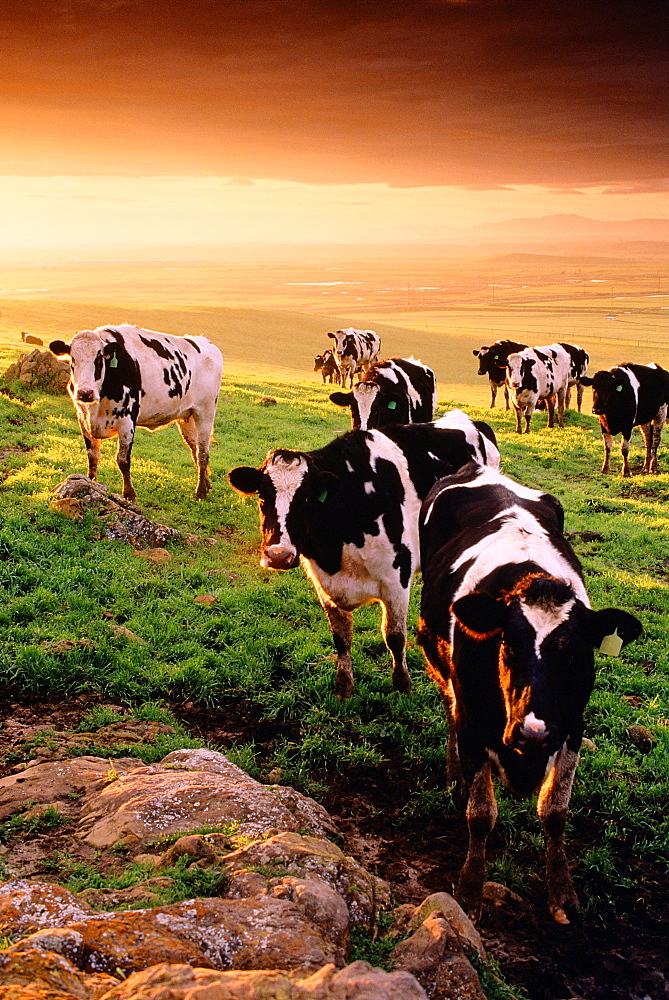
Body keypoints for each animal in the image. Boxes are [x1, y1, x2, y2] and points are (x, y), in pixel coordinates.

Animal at [50, 324, 222, 500]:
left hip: (206, 412)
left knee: (203, 453)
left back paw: (201, 492)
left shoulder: (127, 420)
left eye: (98, 360)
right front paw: (90, 482)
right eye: (73, 359)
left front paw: (129, 493)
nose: (85, 393)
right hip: (187, 417)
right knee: (195, 449)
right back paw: (206, 483)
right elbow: (92, 455)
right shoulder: (83, 419)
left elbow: (122, 459)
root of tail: (204, 341)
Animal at [227, 414, 498, 696]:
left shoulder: (397, 579)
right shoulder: (325, 583)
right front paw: (344, 687)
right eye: (262, 495)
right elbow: (341, 637)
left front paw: (403, 686)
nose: (278, 555)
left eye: (307, 499)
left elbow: (394, 636)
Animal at [418, 464, 640, 924]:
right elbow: (481, 815)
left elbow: (555, 811)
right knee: (448, 708)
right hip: (436, 660)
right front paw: (470, 890)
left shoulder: (571, 725)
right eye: (508, 644)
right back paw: (453, 774)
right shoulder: (473, 722)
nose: (532, 732)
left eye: (574, 653)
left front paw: (561, 890)